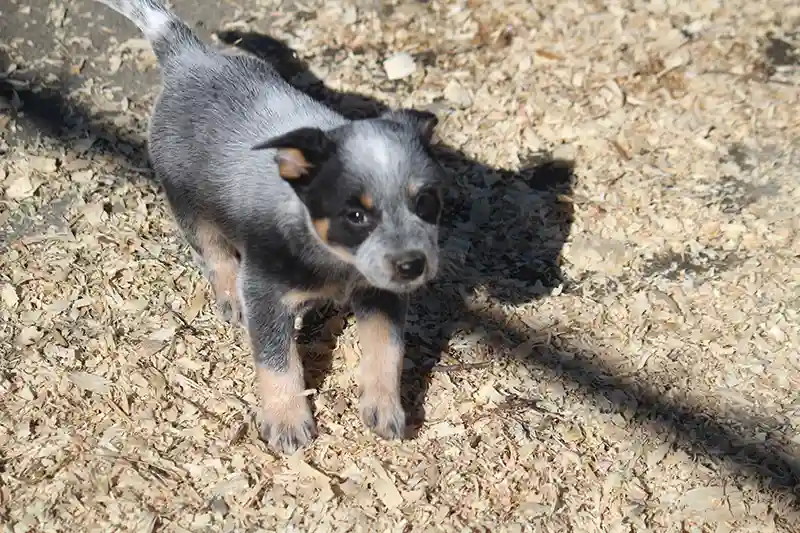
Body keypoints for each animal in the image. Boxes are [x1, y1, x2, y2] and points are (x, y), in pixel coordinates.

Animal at [90, 0, 446, 454]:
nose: (413, 266)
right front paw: (288, 423)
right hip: (189, 205)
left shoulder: (382, 294)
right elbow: (278, 362)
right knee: (215, 254)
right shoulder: (265, 292)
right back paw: (230, 298)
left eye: (426, 201)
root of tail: (189, 57)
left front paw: (385, 408)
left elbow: (388, 348)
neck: (335, 261)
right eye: (356, 216)